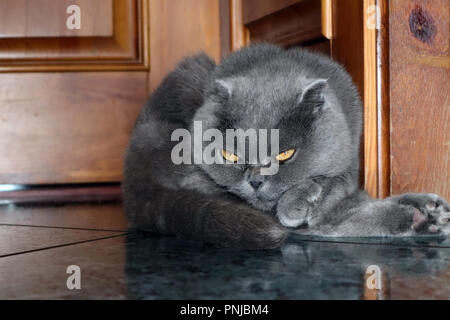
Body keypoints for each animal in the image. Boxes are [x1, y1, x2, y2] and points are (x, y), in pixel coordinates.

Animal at [121, 43, 448, 249]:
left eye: (285, 154)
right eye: (230, 155)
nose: (255, 181)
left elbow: (341, 188)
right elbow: (320, 215)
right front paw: (304, 198)